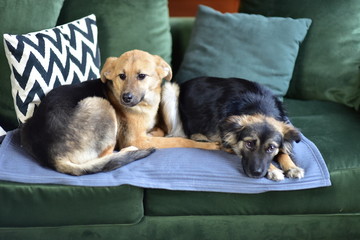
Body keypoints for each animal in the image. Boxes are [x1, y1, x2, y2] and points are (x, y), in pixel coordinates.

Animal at [162, 76, 306, 180]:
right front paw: (274, 170)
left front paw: (292, 167)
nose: (256, 173)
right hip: (171, 90)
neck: (259, 106)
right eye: (249, 144)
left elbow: (283, 152)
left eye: (271, 148)